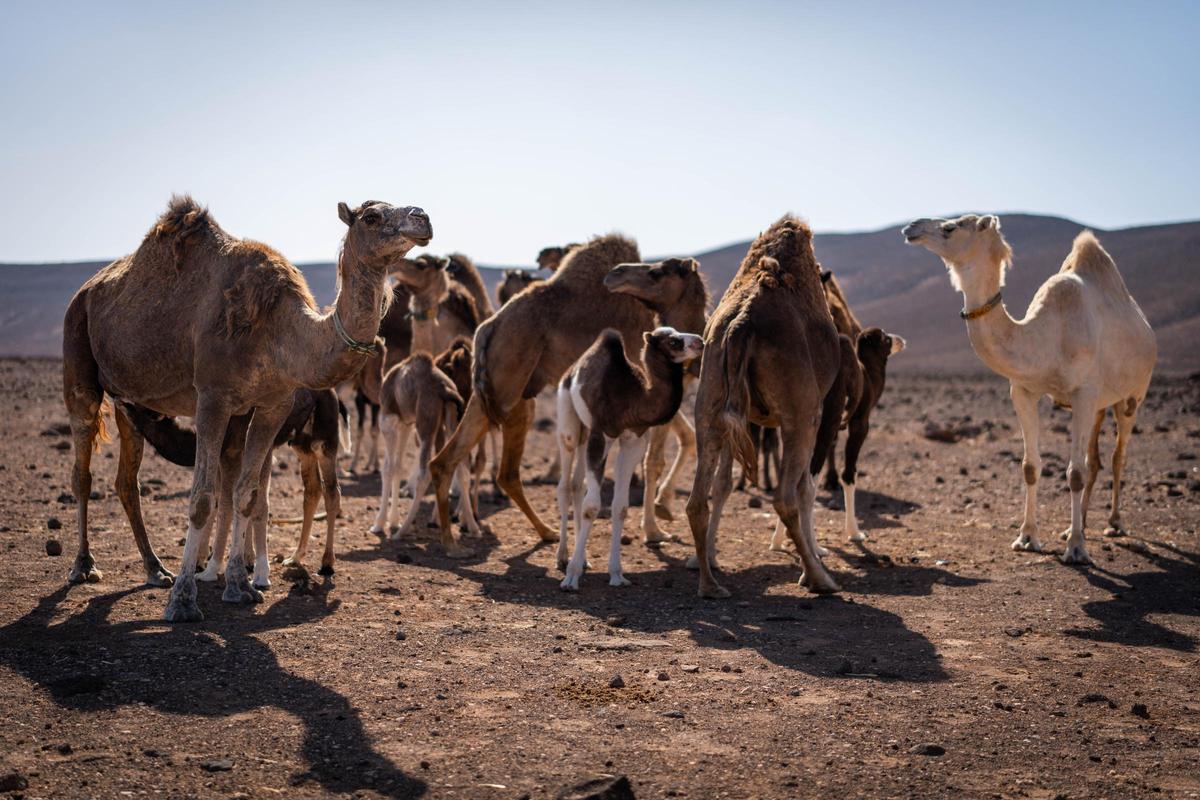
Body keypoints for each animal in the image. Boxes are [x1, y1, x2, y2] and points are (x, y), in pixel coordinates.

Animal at [62, 196, 430, 621]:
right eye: (371, 216)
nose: (423, 217)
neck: (279, 330)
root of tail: (87, 289)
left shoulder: (272, 405)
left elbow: (247, 495)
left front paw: (239, 586)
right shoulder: (213, 399)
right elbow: (203, 499)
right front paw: (184, 601)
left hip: (129, 399)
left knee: (127, 481)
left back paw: (156, 569)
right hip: (78, 350)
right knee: (82, 469)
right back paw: (83, 566)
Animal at [426, 238, 704, 556]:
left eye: (657, 272)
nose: (616, 273)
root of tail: (487, 326)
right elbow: (654, 459)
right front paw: (654, 528)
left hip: (495, 393)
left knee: (448, 461)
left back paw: (455, 541)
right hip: (511, 390)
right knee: (503, 470)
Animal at [555, 327, 704, 590]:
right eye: (673, 341)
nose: (700, 341)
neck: (633, 398)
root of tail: (571, 371)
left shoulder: (633, 440)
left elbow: (620, 507)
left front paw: (616, 574)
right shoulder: (601, 435)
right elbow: (592, 507)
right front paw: (571, 577)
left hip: (585, 433)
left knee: (576, 485)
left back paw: (582, 559)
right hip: (569, 423)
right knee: (564, 485)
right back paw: (563, 557)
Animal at [685, 216, 842, 598]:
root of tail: (742, 323)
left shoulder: (738, 421)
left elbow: (723, 485)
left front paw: (710, 557)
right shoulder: (812, 414)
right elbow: (806, 488)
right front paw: (810, 568)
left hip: (709, 405)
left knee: (696, 500)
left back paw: (710, 585)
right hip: (800, 415)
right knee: (785, 497)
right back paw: (820, 579)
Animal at [903, 215, 1156, 564]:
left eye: (951, 227)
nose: (910, 227)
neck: (1045, 337)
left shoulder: (1084, 394)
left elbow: (1074, 473)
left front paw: (1076, 548)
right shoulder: (1024, 391)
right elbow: (1030, 467)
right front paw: (1027, 538)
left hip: (1133, 395)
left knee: (1118, 456)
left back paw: (1114, 523)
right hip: (1101, 404)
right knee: (1095, 459)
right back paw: (1077, 524)